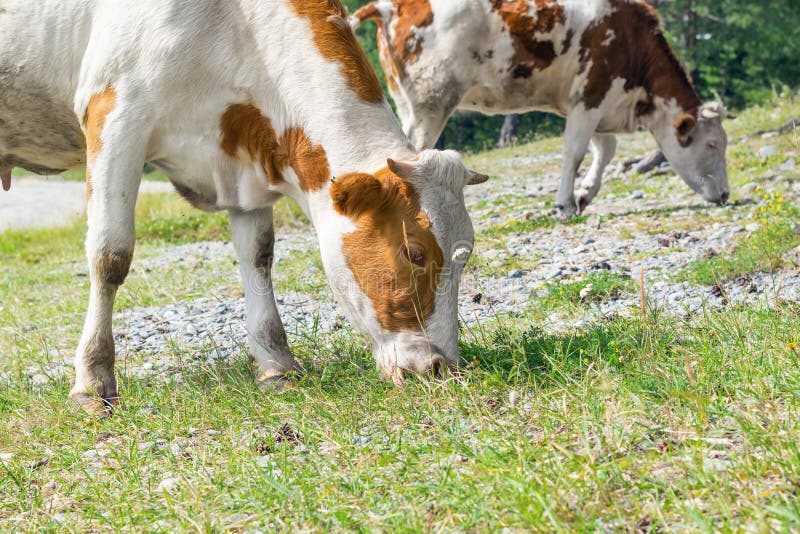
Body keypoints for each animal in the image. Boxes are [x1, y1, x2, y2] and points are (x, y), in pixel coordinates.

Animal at [0, 0, 488, 414]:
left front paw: (277, 365)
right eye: (414, 253)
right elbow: (110, 256)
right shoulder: (115, 113)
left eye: (463, 260)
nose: (440, 368)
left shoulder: (241, 158)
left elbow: (258, 257)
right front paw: (93, 380)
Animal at [350, 0, 730, 218]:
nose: (727, 194)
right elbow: (575, 152)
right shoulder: (591, 95)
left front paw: (585, 194)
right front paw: (565, 205)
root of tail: (392, 5)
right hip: (431, 101)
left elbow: (605, 149)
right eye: (712, 144)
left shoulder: (594, 103)